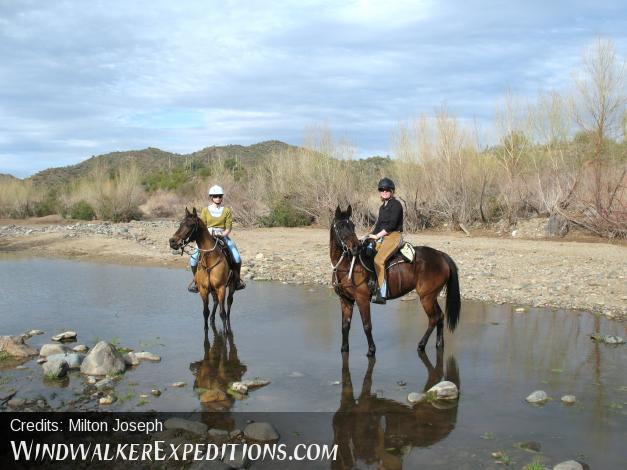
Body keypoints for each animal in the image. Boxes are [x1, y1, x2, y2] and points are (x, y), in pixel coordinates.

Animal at [334, 204, 462, 354]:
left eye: (352, 226)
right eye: (340, 226)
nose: (356, 247)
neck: (348, 265)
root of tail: (441, 255)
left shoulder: (362, 300)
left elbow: (367, 325)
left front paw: (371, 350)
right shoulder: (345, 300)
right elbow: (345, 326)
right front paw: (344, 348)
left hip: (427, 297)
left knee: (434, 318)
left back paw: (421, 345)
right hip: (431, 296)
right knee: (440, 317)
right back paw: (439, 344)